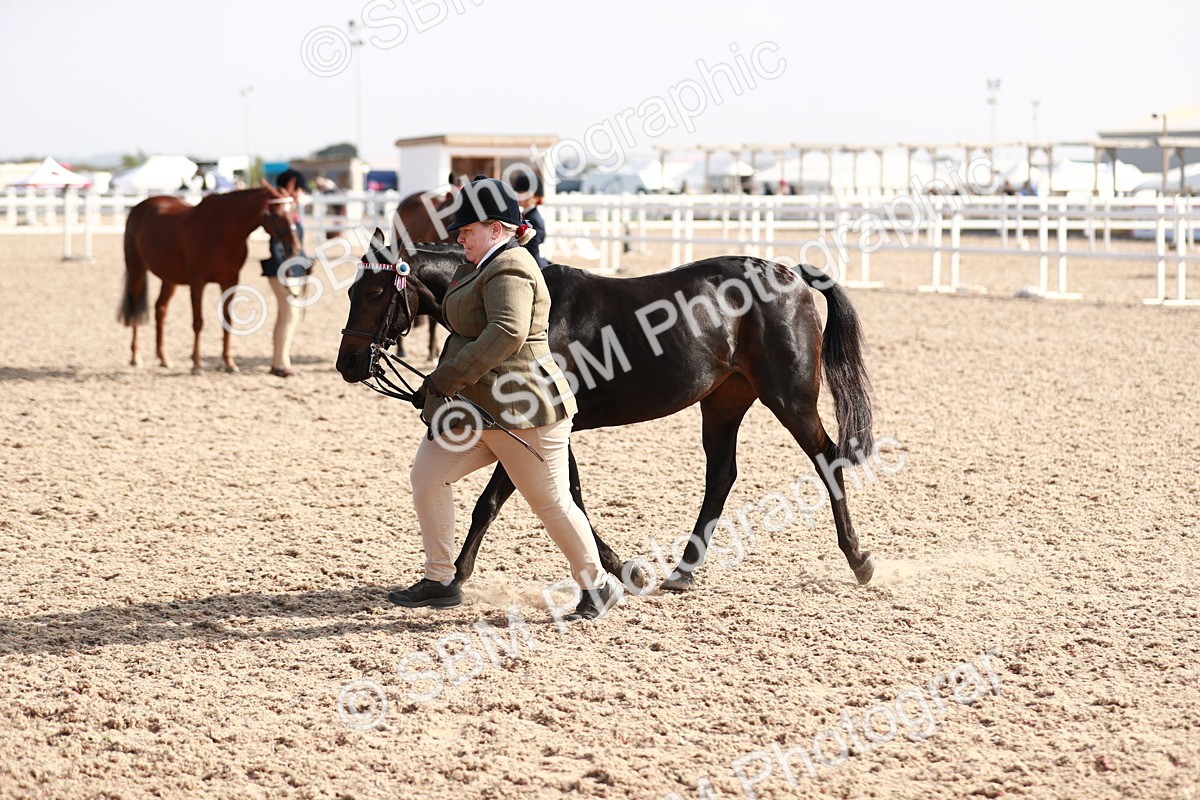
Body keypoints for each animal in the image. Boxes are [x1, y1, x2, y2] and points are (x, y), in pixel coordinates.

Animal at [119, 184, 301, 372]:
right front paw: (197, 364)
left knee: (160, 309)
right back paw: (136, 357)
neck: (221, 231)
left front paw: (229, 363)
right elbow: (198, 322)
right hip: (137, 270)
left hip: (169, 279)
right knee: (135, 309)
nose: (293, 248)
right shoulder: (197, 283)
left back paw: (164, 358)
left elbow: (227, 320)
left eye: (294, 211)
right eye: (276, 215)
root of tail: (139, 207)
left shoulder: (230, 282)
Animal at [336, 230, 877, 591]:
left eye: (377, 292)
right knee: (721, 476)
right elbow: (568, 494)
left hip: (789, 398)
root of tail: (788, 274)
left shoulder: (535, 425)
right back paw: (683, 571)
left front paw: (456, 578)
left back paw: (858, 559)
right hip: (724, 402)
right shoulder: (555, 430)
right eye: (350, 290)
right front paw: (623, 568)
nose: (348, 363)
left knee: (826, 459)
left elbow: (497, 501)